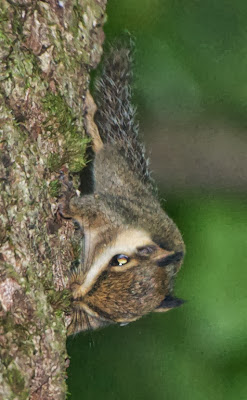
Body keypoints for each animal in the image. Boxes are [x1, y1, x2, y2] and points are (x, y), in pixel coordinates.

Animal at [58, 36, 184, 332]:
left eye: (118, 321)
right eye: (120, 261)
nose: (75, 294)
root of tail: (144, 190)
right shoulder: (107, 212)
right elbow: (85, 207)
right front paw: (67, 203)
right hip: (112, 171)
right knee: (106, 150)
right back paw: (92, 123)